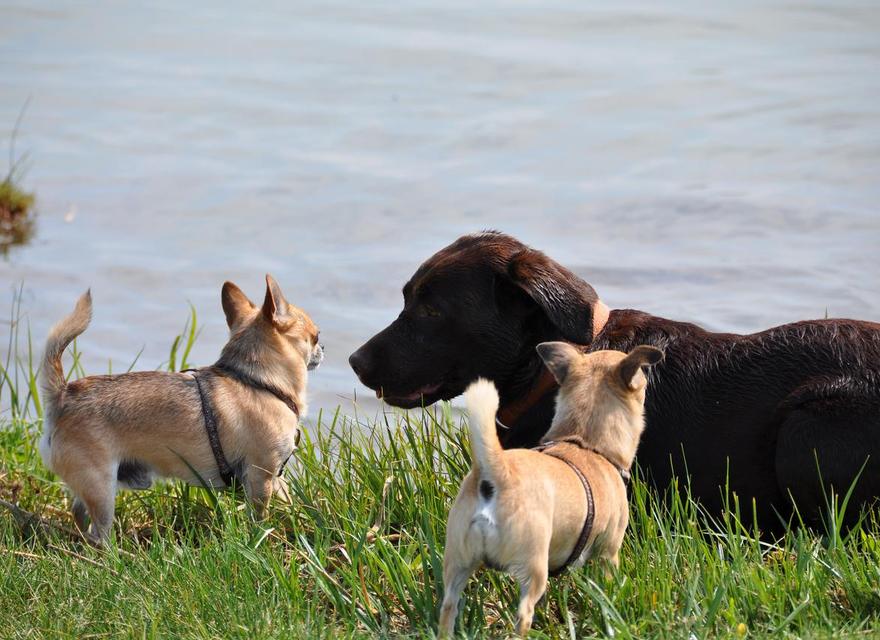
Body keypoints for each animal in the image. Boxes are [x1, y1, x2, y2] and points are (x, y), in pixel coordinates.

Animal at [38, 276, 324, 544]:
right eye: (317, 336)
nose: (324, 347)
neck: (258, 381)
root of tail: (63, 396)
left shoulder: (274, 477)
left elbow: (287, 499)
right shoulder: (261, 476)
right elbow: (260, 518)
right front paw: (261, 539)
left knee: (79, 513)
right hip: (101, 488)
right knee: (100, 532)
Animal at [436, 342, 664, 636]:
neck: (584, 442)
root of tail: (497, 471)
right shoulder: (608, 550)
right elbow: (608, 585)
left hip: (458, 562)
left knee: (449, 606)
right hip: (532, 567)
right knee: (524, 612)